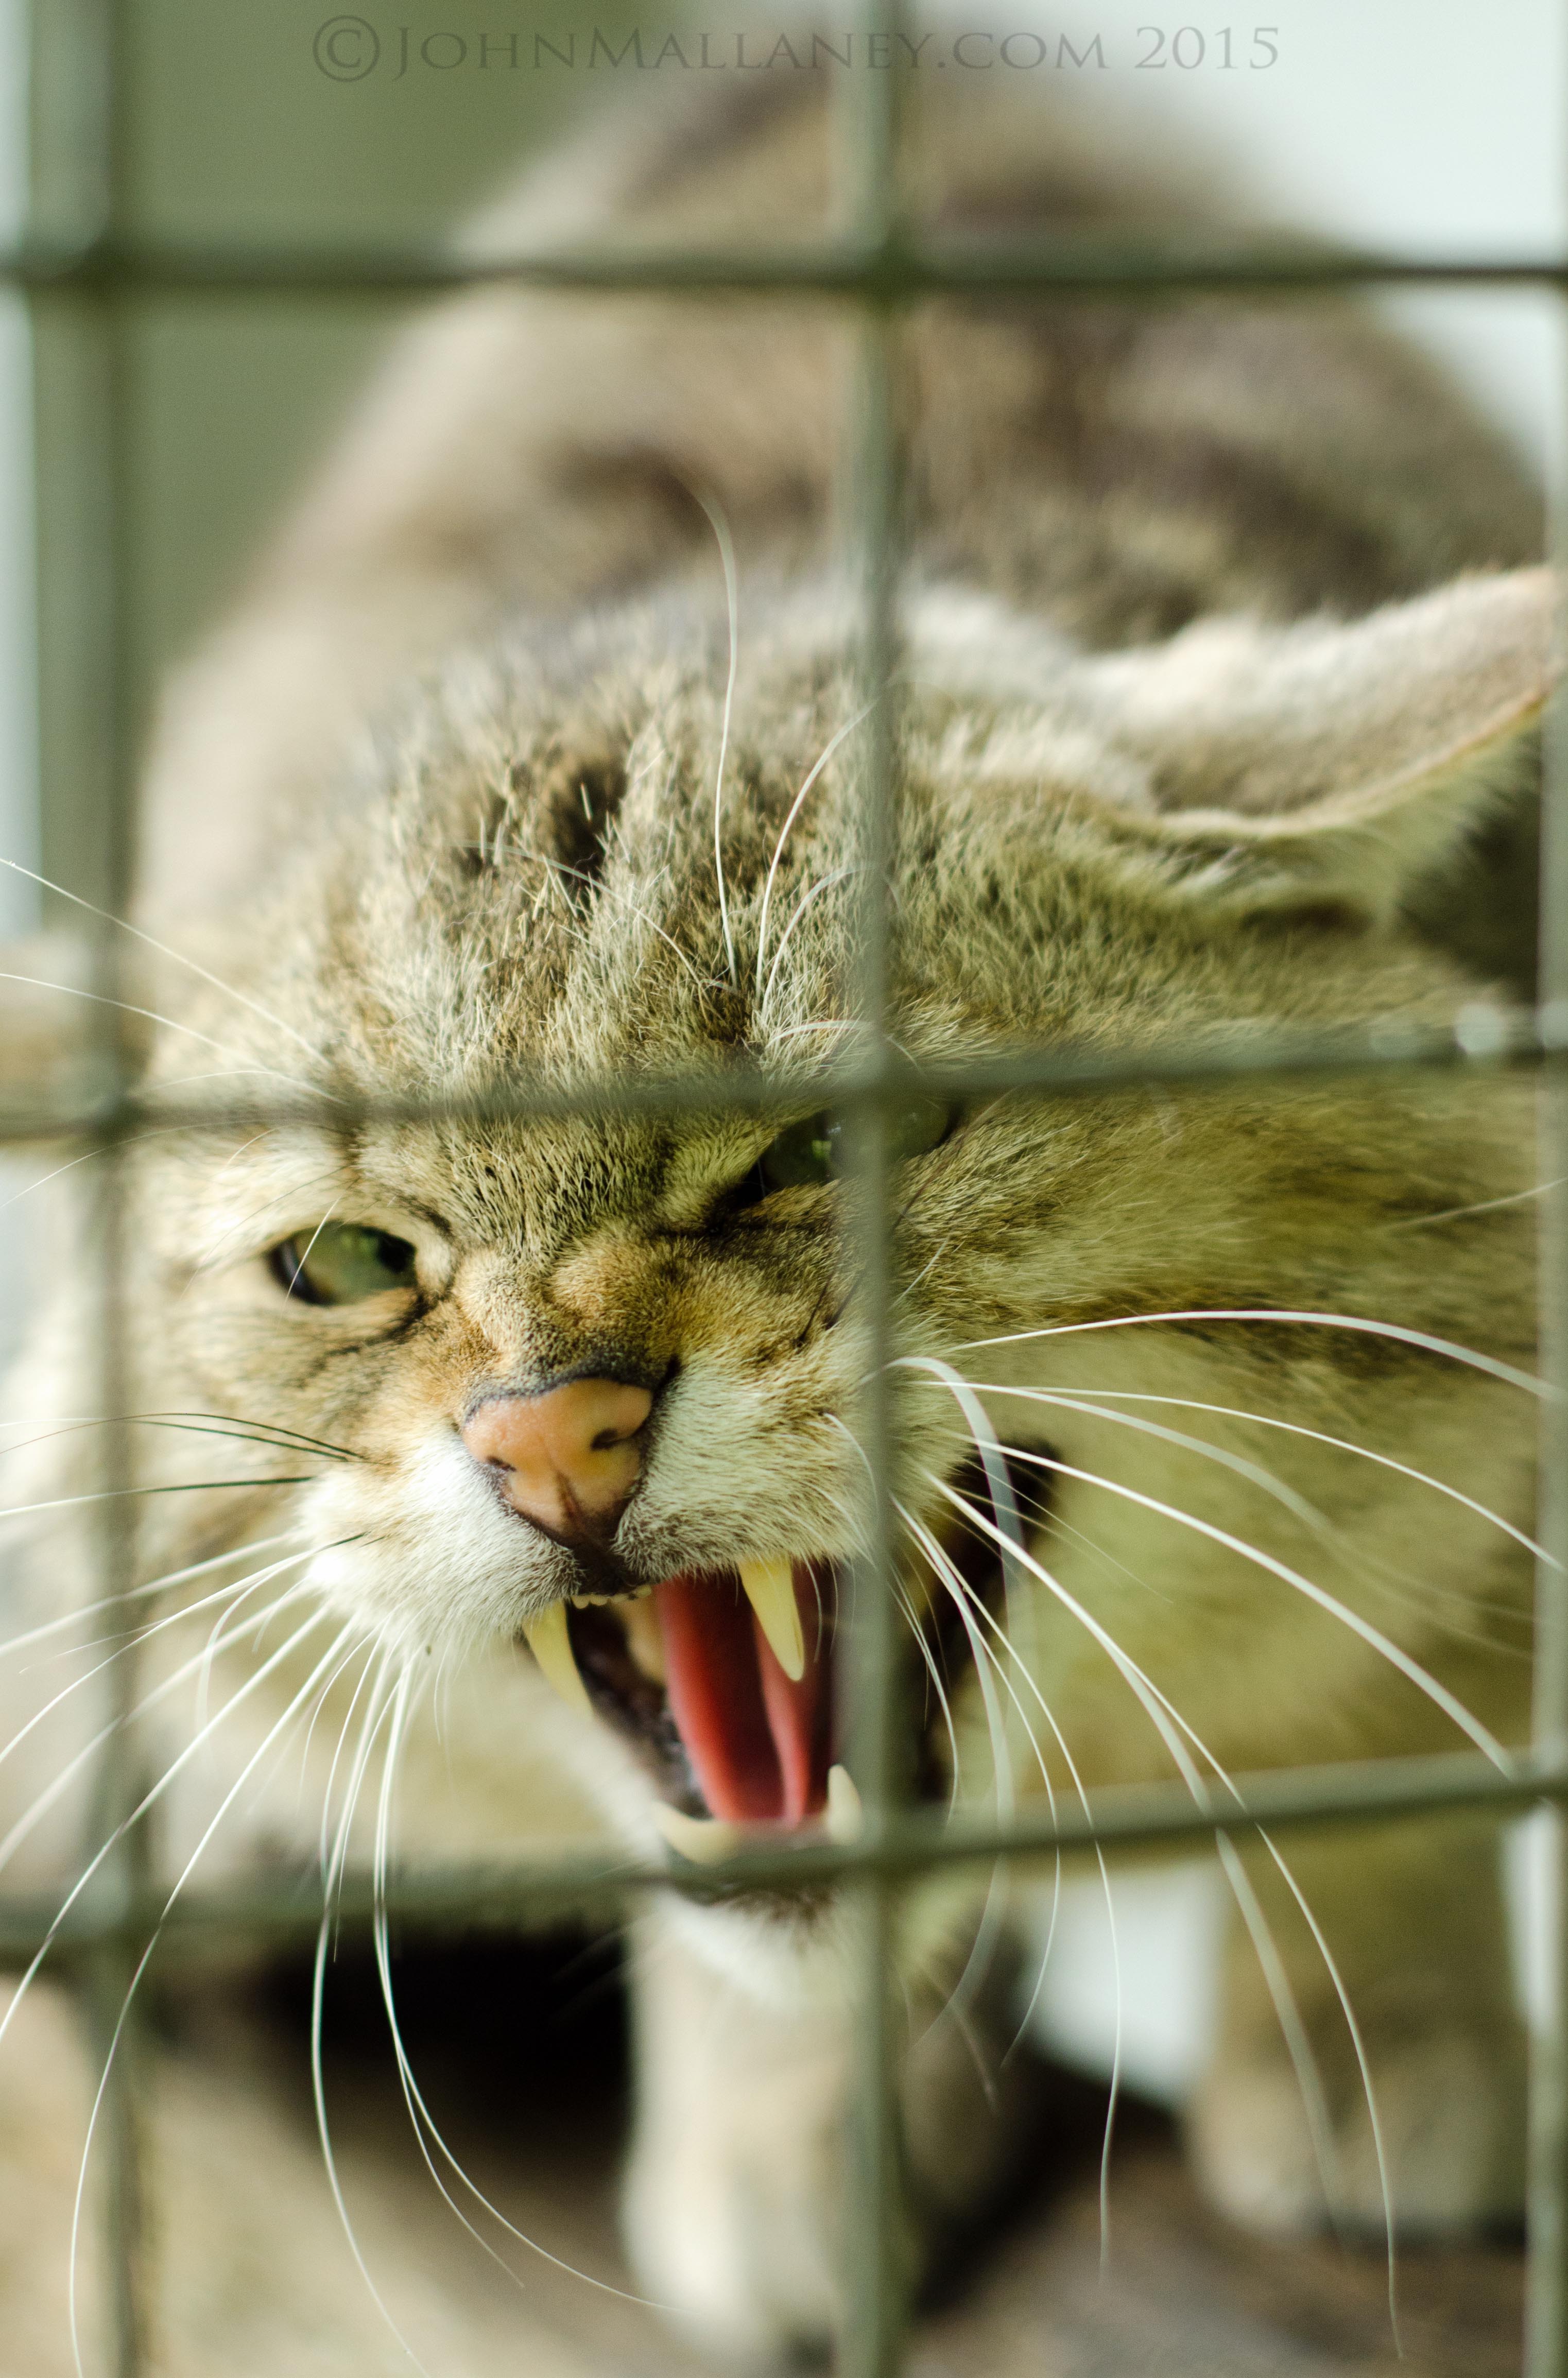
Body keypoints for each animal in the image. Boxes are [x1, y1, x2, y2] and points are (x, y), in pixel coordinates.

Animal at [0, 65, 1554, 2366]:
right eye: (355, 1261)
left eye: (820, 1144)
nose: (554, 1432)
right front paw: (785, 2128)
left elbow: (1399, 1740)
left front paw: (1388, 2026)